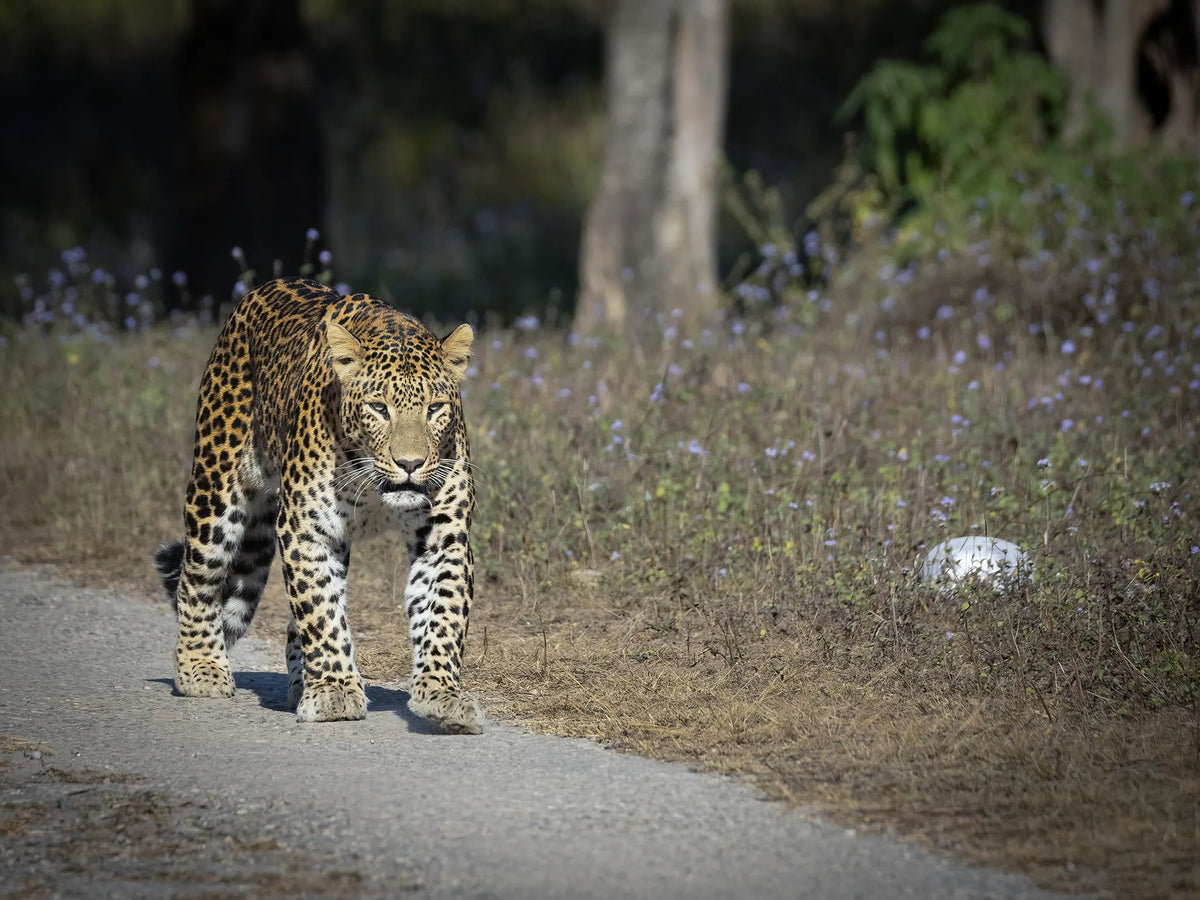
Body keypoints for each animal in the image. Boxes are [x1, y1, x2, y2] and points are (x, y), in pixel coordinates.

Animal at [153, 276, 482, 733]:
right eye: (378, 408)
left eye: (435, 408)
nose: (410, 464)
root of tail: (266, 287)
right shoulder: (305, 529)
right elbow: (321, 612)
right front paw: (336, 692)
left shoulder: (444, 538)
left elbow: (443, 614)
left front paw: (442, 693)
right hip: (216, 485)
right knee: (197, 576)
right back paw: (200, 667)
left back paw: (299, 681)